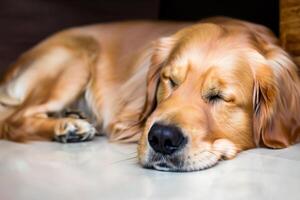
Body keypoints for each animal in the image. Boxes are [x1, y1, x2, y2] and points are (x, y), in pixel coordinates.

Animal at [0, 16, 300, 172]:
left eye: (218, 96)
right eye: (170, 80)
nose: (162, 138)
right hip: (76, 58)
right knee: (13, 121)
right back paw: (68, 127)